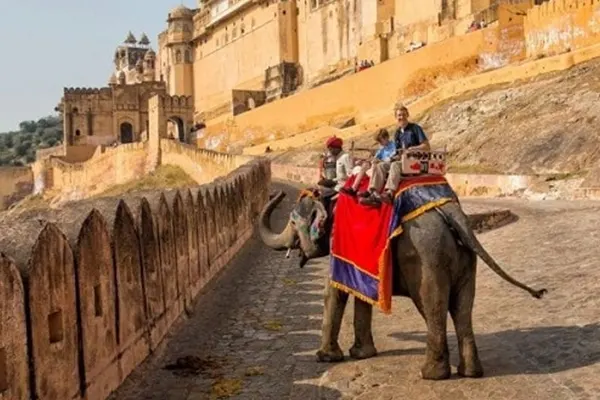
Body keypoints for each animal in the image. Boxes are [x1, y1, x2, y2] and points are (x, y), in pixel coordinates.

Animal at [258, 189, 548, 380]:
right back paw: (470, 372)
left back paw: (431, 374)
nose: (278, 192)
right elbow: (360, 293)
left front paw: (325, 357)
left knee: (433, 307)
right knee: (463, 309)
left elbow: (336, 292)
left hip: (428, 258)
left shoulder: (338, 243)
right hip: (465, 258)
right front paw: (362, 354)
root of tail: (452, 213)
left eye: (293, 222)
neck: (331, 197)